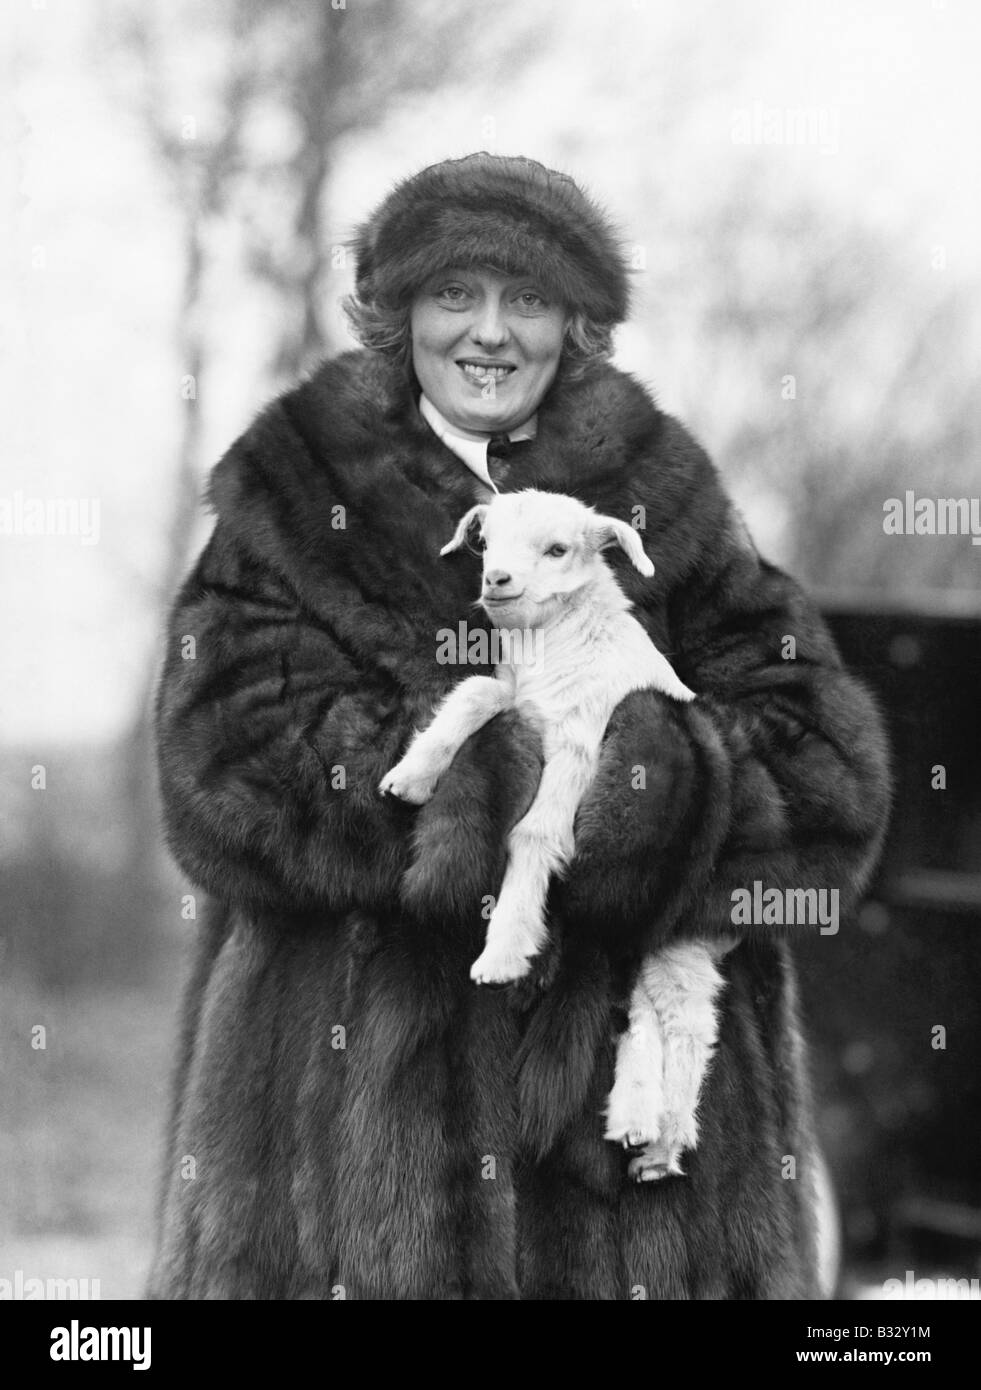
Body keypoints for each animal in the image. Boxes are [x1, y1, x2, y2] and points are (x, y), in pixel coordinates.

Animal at [377, 489, 728, 1184]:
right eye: (486, 542)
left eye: (559, 549)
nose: (496, 580)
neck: (556, 645)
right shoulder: (521, 701)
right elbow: (475, 690)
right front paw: (413, 774)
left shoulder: (579, 742)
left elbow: (537, 835)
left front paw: (503, 954)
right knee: (643, 1011)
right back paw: (636, 1123)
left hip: (681, 936)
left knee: (684, 1020)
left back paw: (665, 1141)